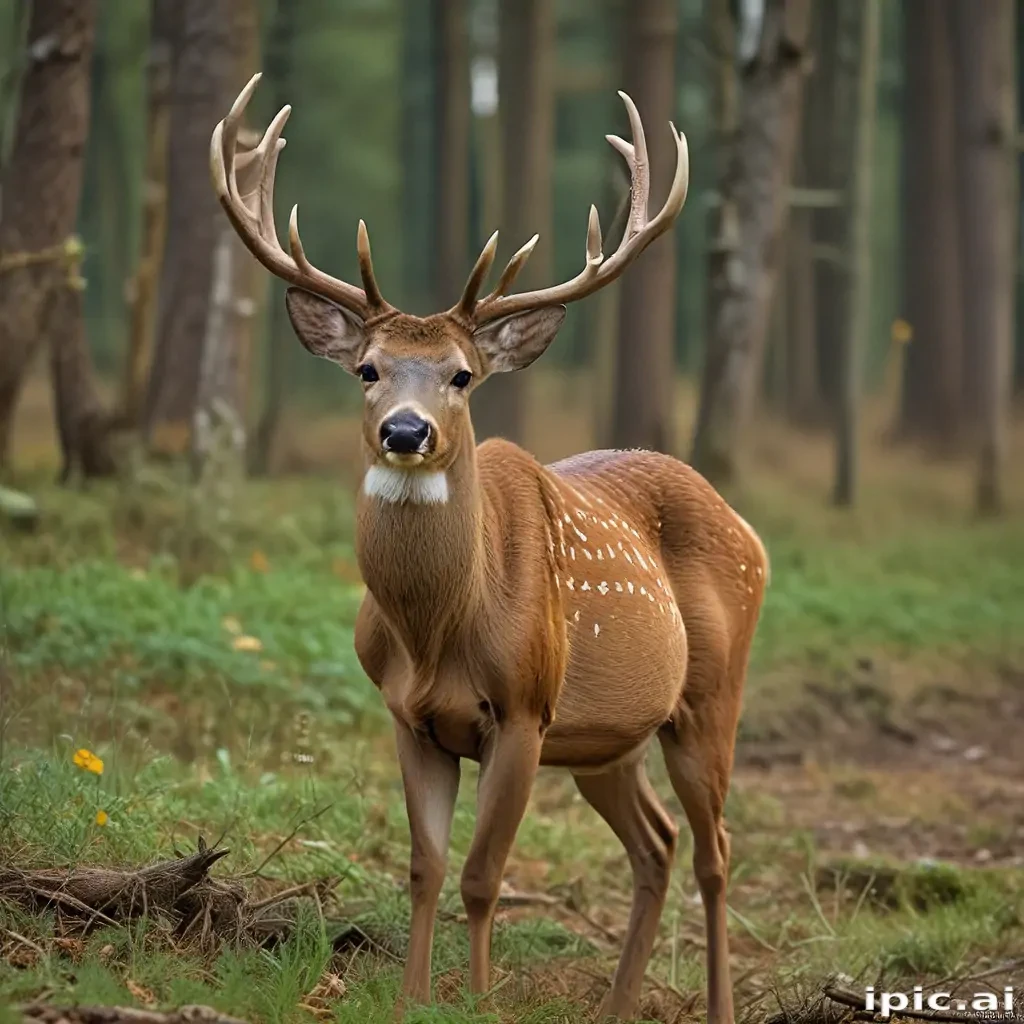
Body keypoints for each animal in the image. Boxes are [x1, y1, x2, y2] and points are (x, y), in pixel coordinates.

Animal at [211, 72, 769, 1024]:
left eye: (462, 376)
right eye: (367, 369)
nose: (406, 430)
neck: (438, 630)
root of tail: (751, 533)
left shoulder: (523, 708)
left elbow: (483, 874)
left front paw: (474, 999)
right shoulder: (408, 714)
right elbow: (425, 867)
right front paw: (409, 998)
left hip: (708, 697)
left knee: (715, 850)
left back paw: (720, 1004)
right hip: (606, 740)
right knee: (655, 844)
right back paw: (617, 1005)